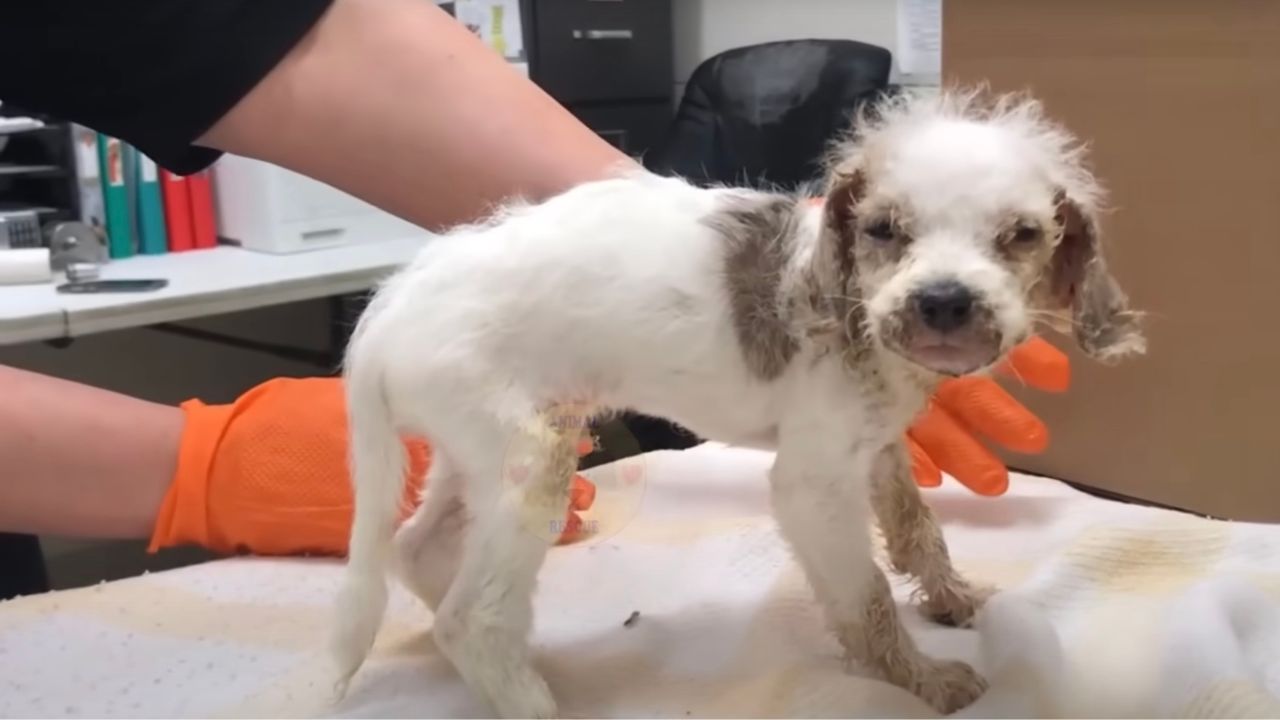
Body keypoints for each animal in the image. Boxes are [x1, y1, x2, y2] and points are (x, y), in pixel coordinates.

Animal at [325, 88, 1146, 712]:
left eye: (1022, 235)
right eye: (884, 229)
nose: (944, 303)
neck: (851, 304)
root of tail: (387, 308)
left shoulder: (878, 446)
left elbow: (917, 529)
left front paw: (951, 596)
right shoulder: (813, 485)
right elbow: (866, 597)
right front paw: (917, 678)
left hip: (485, 450)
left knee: (419, 551)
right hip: (530, 464)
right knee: (472, 617)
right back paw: (524, 693)